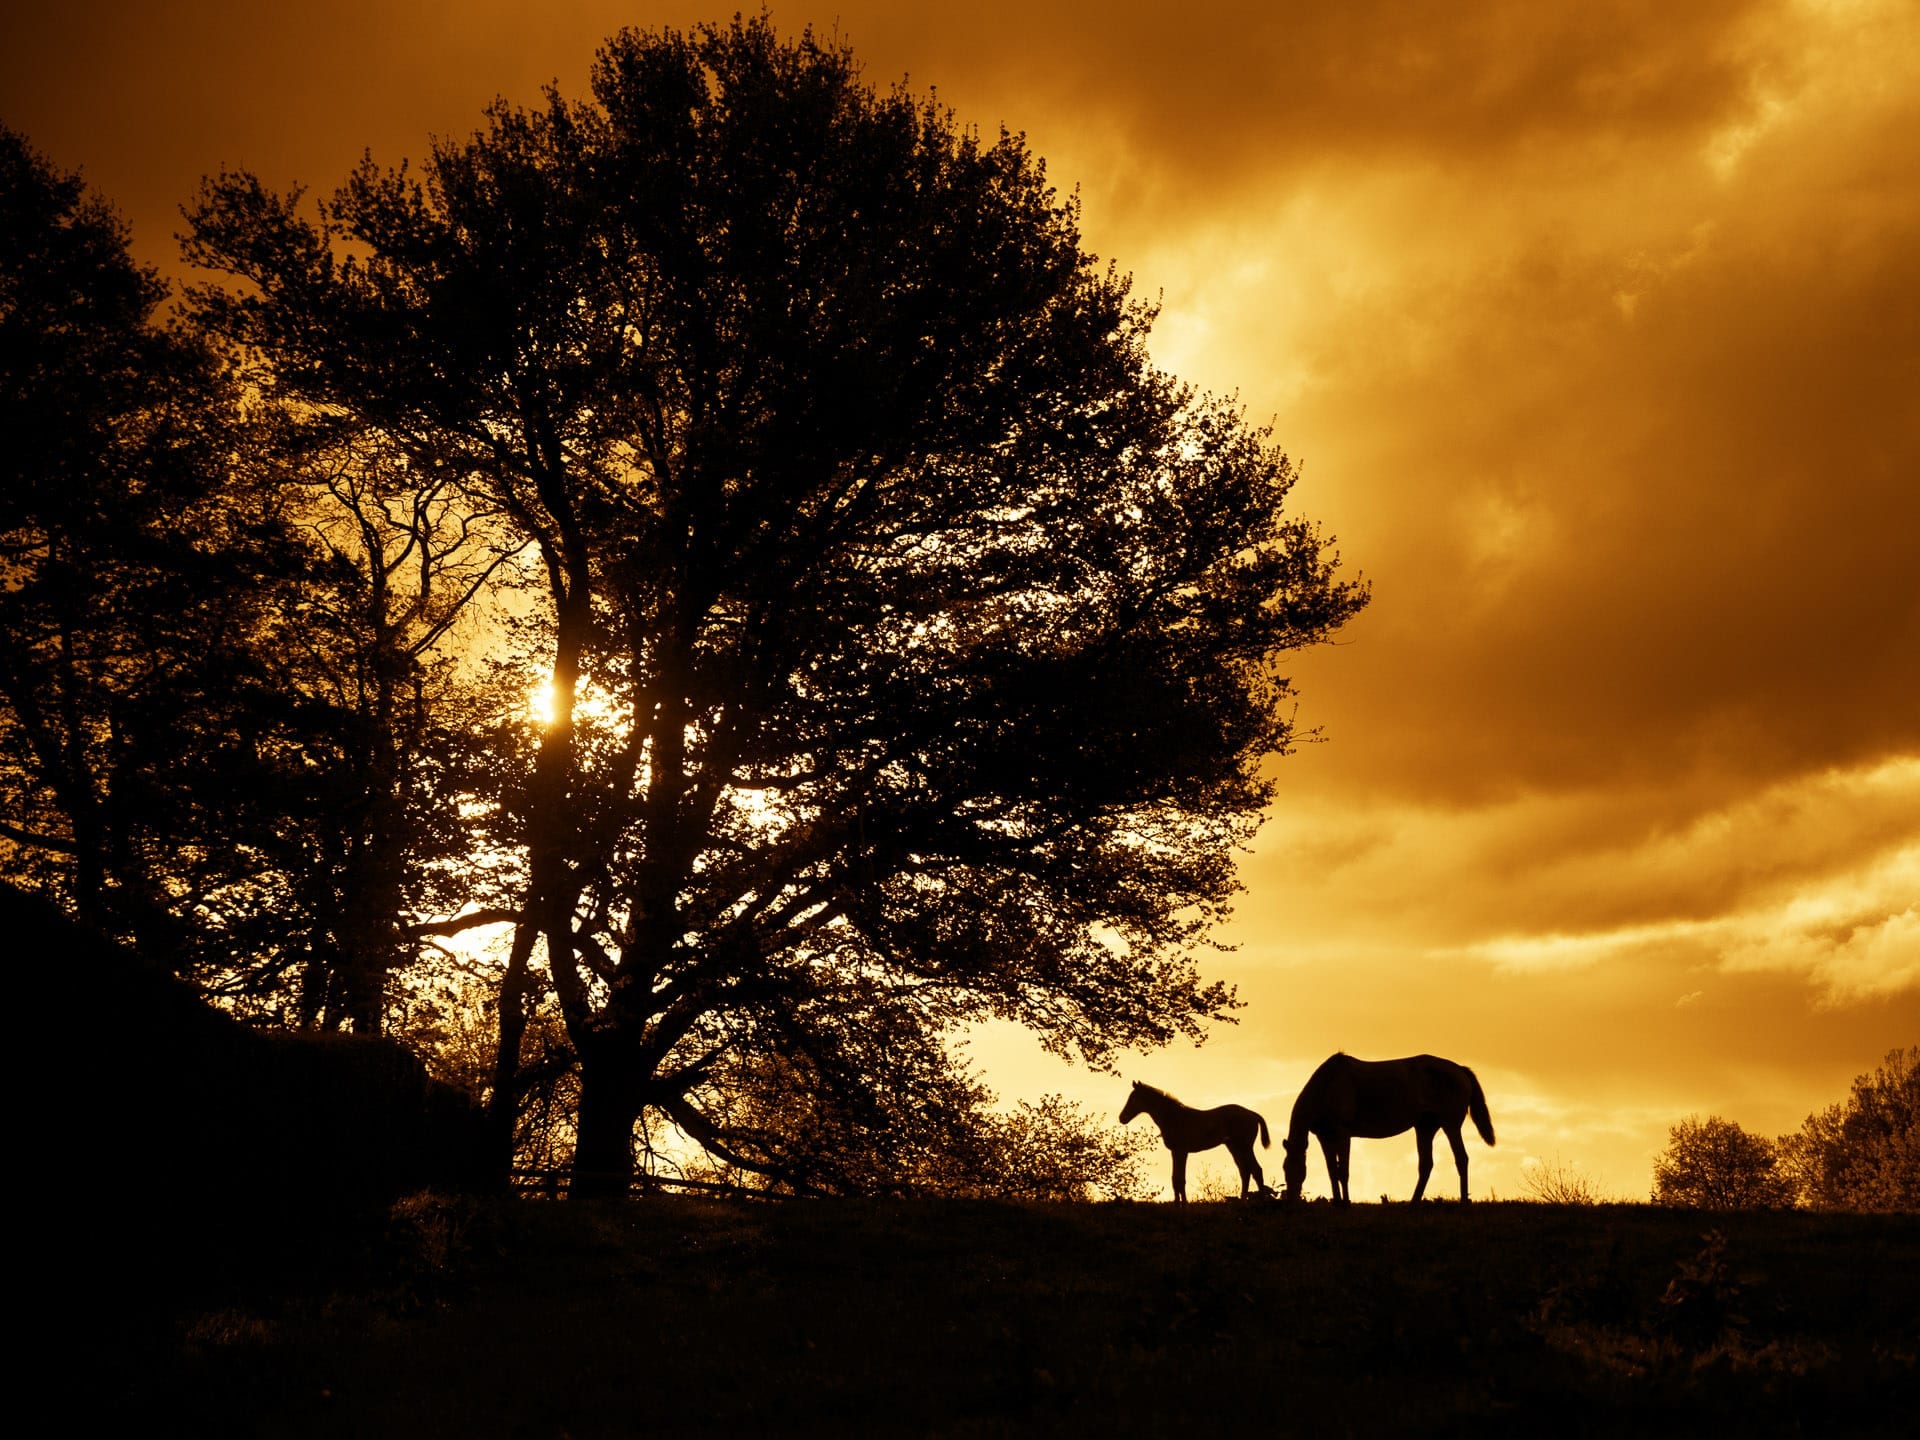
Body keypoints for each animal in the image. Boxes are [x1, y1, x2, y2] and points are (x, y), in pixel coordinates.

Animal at [1118, 1081, 1271, 1202]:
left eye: (1133, 1099)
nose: (1122, 1118)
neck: (1173, 1117)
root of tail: (1253, 1114)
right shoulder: (1175, 1152)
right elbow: (1175, 1180)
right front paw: (1177, 1205)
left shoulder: (1182, 1151)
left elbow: (1180, 1180)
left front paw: (1184, 1206)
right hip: (1234, 1147)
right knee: (1245, 1172)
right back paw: (1243, 1202)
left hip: (1245, 1147)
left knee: (1256, 1170)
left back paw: (1261, 1203)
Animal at [1280, 1053, 1495, 1205]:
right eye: (1285, 1167)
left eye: (1299, 1169)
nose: (1291, 1199)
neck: (1328, 1085)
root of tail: (1460, 1069)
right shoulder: (1325, 1137)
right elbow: (1332, 1170)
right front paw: (1337, 1203)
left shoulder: (1343, 1133)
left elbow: (1343, 1171)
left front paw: (1346, 1203)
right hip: (1425, 1127)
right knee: (1426, 1164)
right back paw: (1413, 1203)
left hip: (1450, 1124)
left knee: (1461, 1159)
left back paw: (1464, 1202)